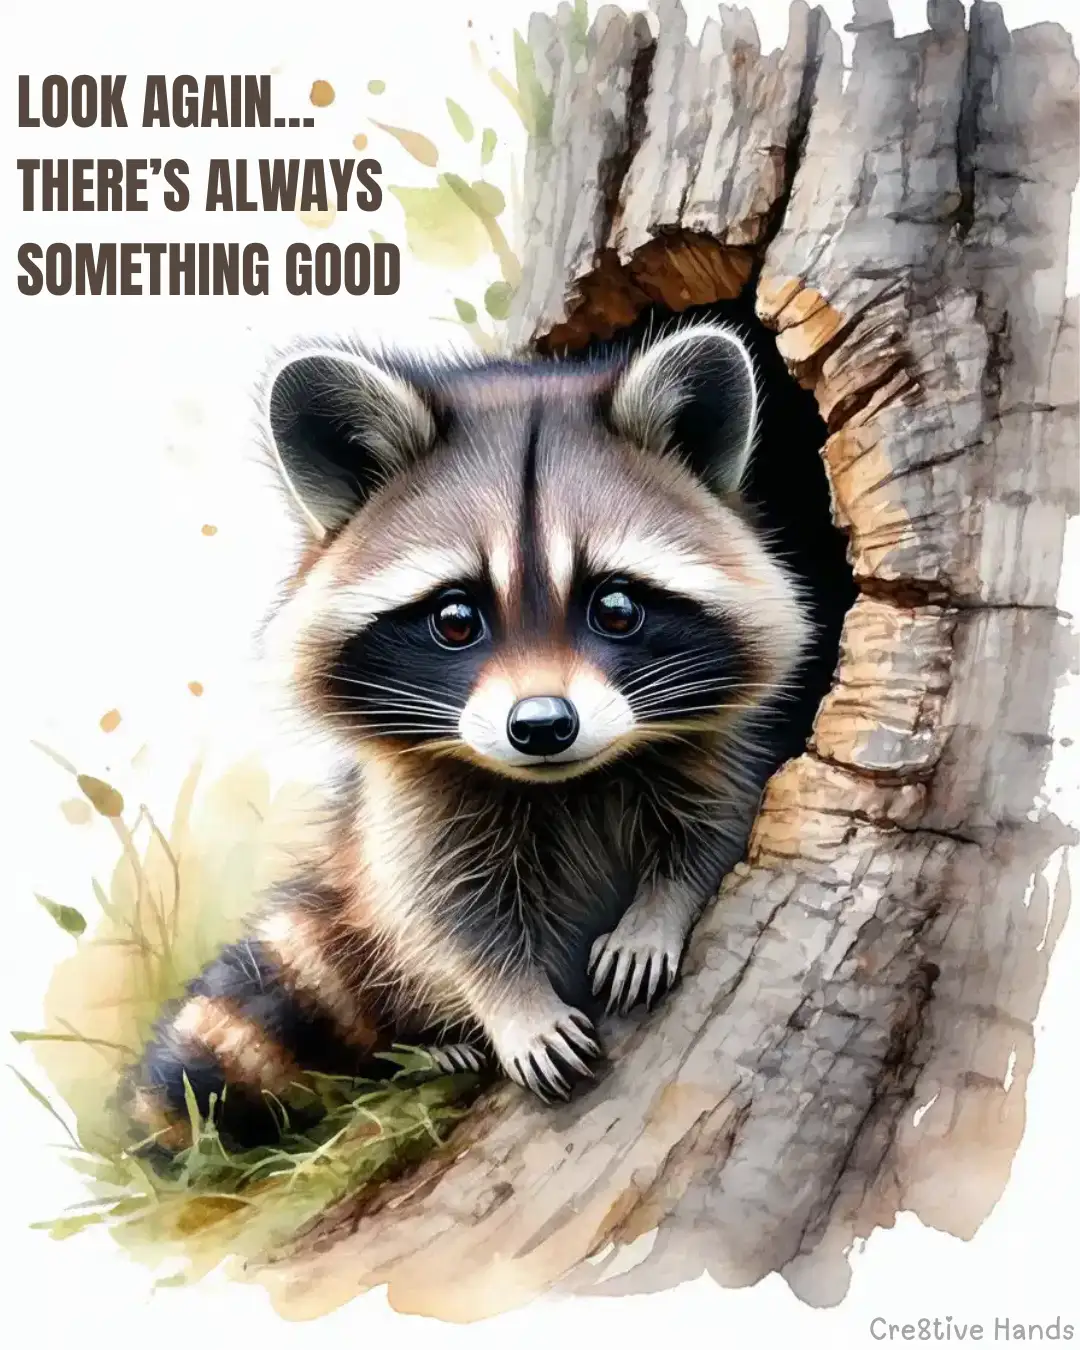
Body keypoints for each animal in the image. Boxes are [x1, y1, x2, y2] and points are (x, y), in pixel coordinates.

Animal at [128, 322, 811, 1152]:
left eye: (616, 607)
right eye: (455, 619)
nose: (543, 725)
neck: (563, 783)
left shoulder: (714, 752)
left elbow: (716, 834)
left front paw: (655, 915)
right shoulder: (412, 813)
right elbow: (448, 919)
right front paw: (512, 1007)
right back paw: (434, 1040)